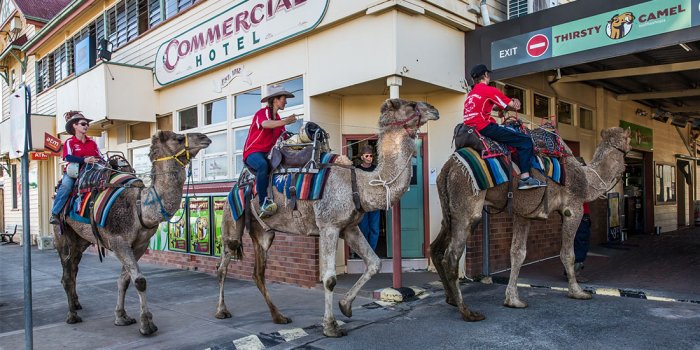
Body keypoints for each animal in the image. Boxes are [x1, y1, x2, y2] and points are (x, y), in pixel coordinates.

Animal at [52, 131, 211, 334]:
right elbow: (140, 281)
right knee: (66, 274)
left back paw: (77, 304)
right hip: (62, 235)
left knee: (73, 268)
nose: (205, 137)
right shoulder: (118, 241)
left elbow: (125, 281)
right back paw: (72, 315)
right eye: (179, 139)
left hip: (81, 239)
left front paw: (122, 317)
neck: (139, 207)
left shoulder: (140, 244)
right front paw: (147, 324)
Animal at [216, 98, 440, 336]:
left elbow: (374, 263)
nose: (434, 109)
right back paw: (222, 311)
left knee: (258, 273)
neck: (359, 184)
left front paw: (345, 306)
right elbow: (330, 279)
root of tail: (235, 184)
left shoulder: (349, 228)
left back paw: (279, 317)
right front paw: (331, 326)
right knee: (224, 264)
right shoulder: (329, 227)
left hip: (264, 232)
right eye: (409, 104)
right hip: (232, 217)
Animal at [430, 127, 632, 322]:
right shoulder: (573, 209)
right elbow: (568, 254)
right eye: (628, 139)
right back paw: (468, 312)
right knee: (452, 256)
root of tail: (449, 167)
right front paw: (578, 292)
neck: (586, 180)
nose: (631, 157)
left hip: (449, 208)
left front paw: (513, 300)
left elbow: (517, 253)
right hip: (467, 203)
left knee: (435, 247)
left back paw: (451, 299)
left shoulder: (523, 214)